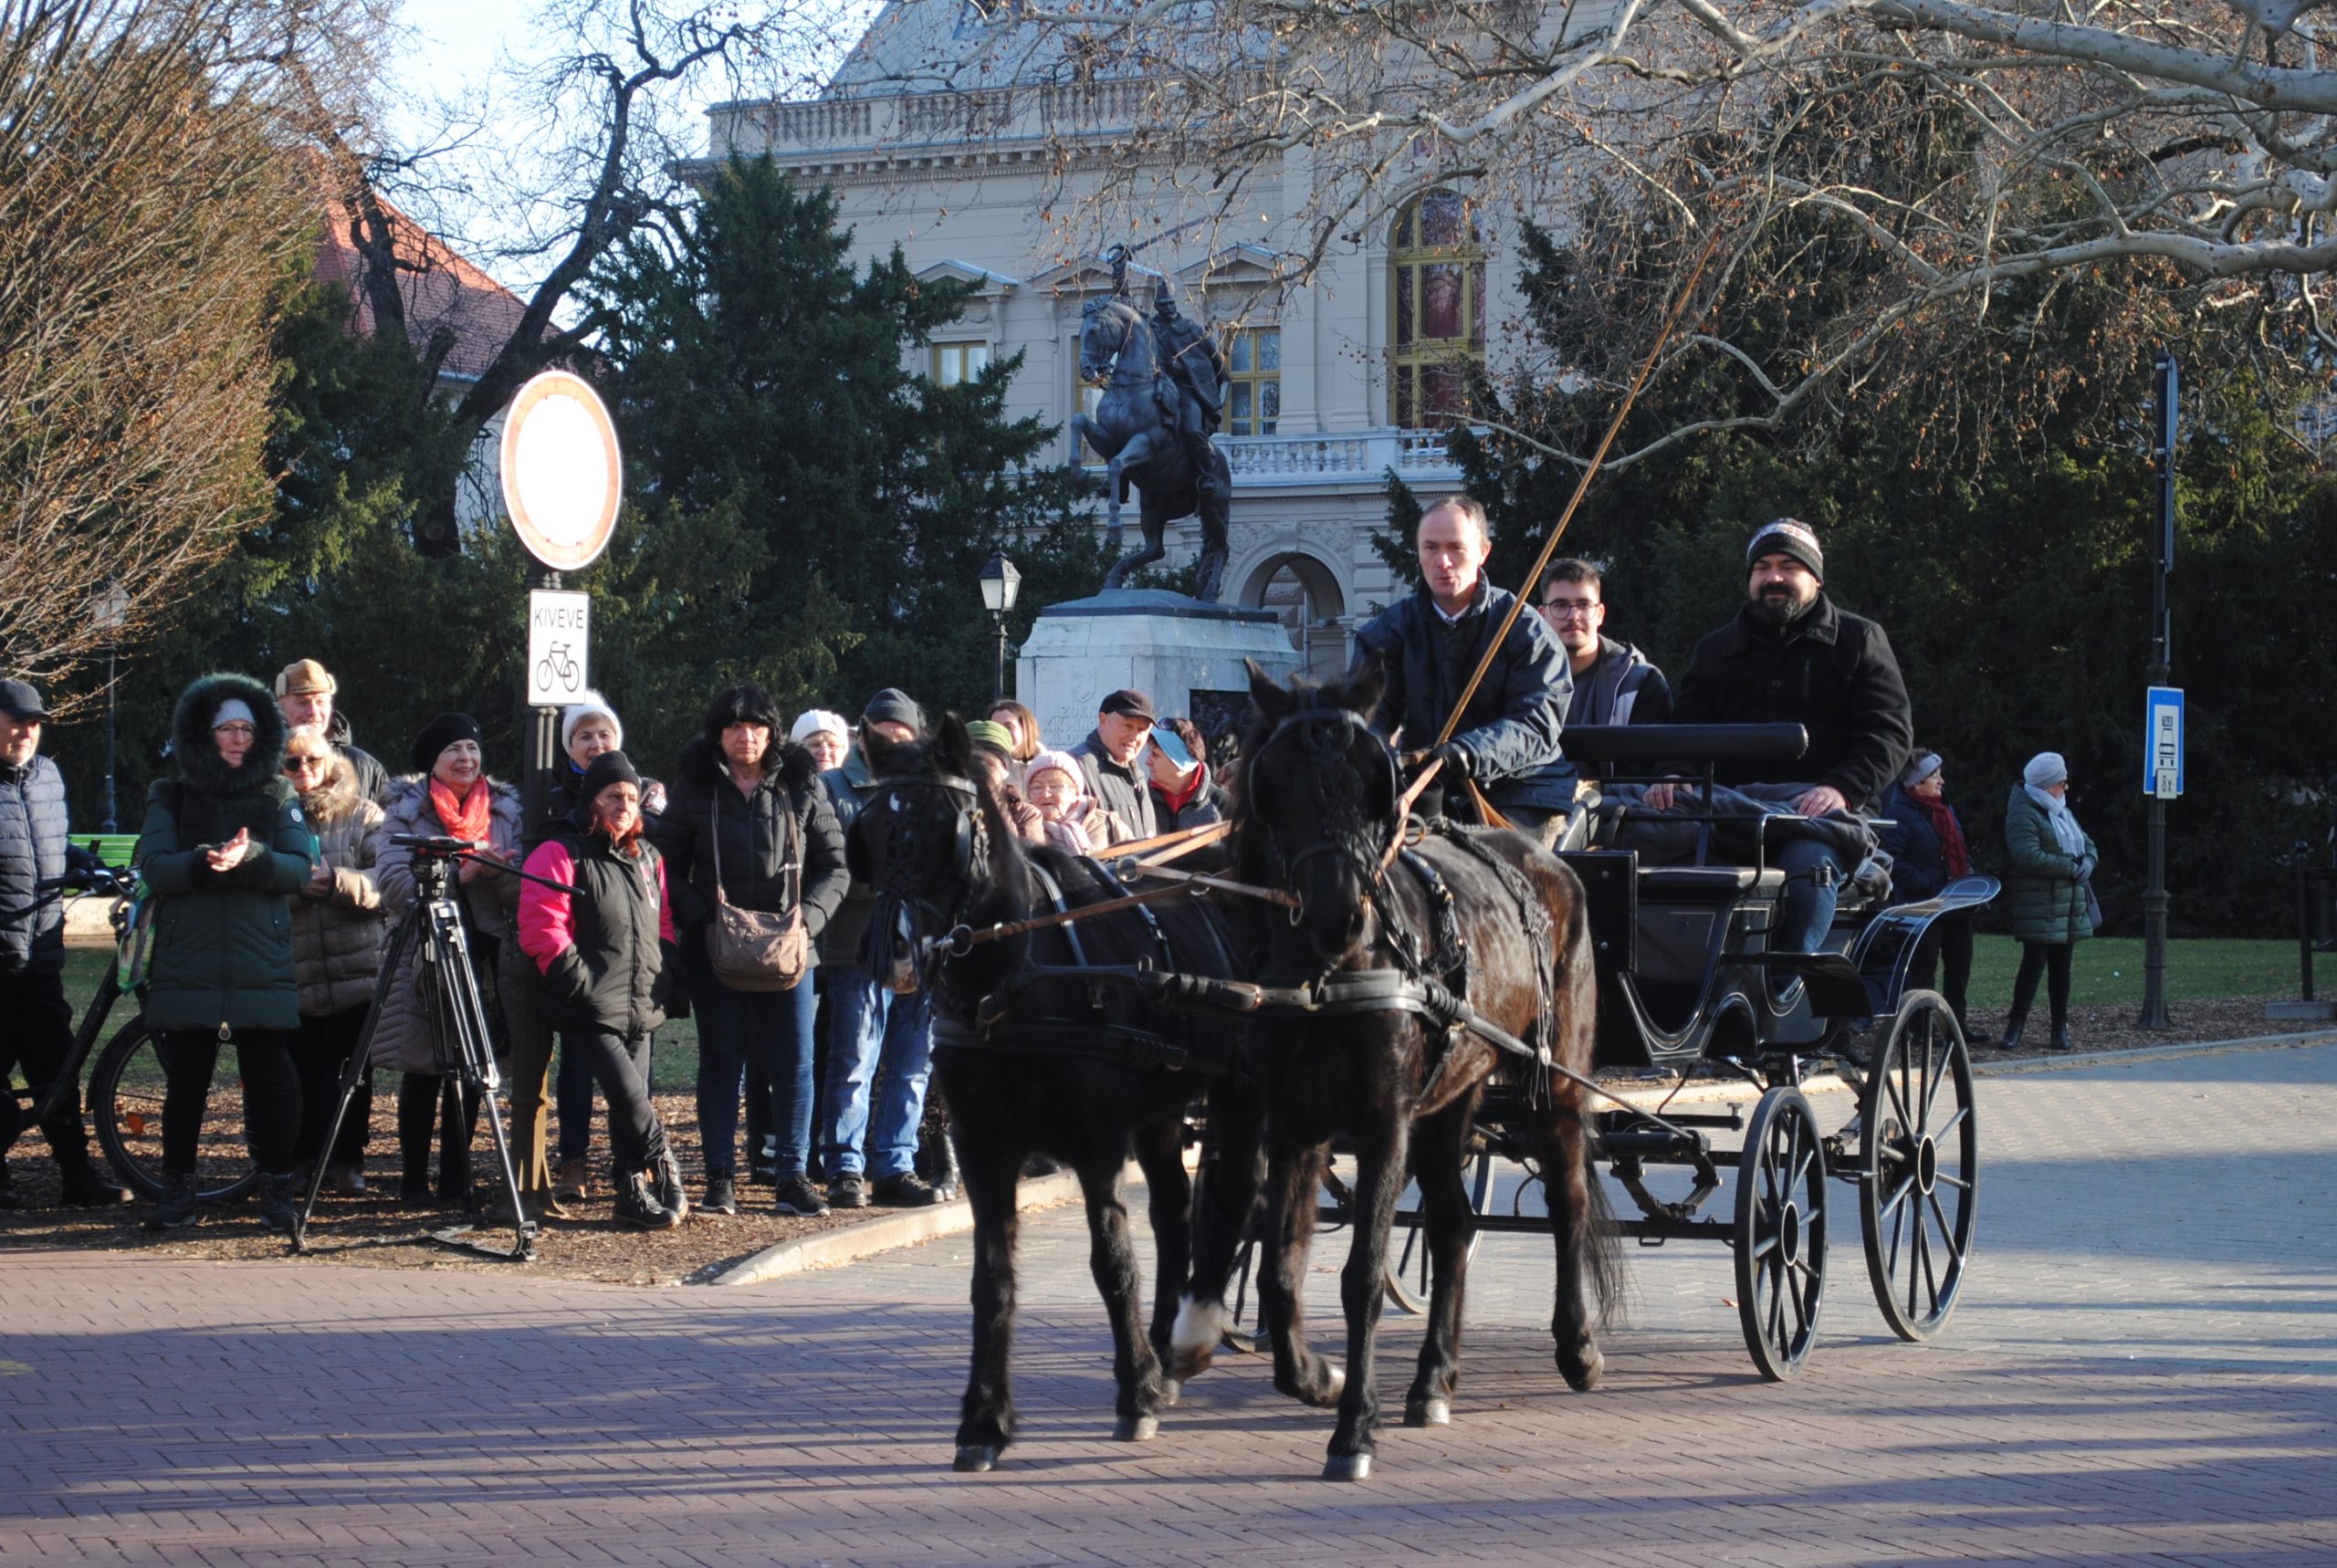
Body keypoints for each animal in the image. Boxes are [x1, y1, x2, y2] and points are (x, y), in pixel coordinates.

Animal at [854, 719, 1262, 1477]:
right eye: (867, 828)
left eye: (942, 823)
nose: (893, 956)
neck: (1015, 977)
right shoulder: (984, 1148)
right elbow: (991, 1279)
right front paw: (983, 1421)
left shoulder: (1096, 1145)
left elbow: (1112, 1263)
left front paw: (1134, 1396)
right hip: (1162, 1114)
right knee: (1173, 1214)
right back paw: (1167, 1352)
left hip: (1244, 1092)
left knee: (1241, 1201)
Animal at [1196, 664, 1617, 1486]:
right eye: (1276, 784)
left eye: (1374, 783)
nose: (1336, 914)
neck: (1330, 973)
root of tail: (1548, 862)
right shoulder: (1293, 1122)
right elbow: (1279, 1268)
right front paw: (1316, 1378)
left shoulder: (1382, 1120)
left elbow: (1361, 1274)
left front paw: (1354, 1427)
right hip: (1451, 1100)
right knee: (1453, 1224)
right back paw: (1432, 1381)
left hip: (1556, 1085)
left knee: (1569, 1201)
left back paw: (1578, 1347)